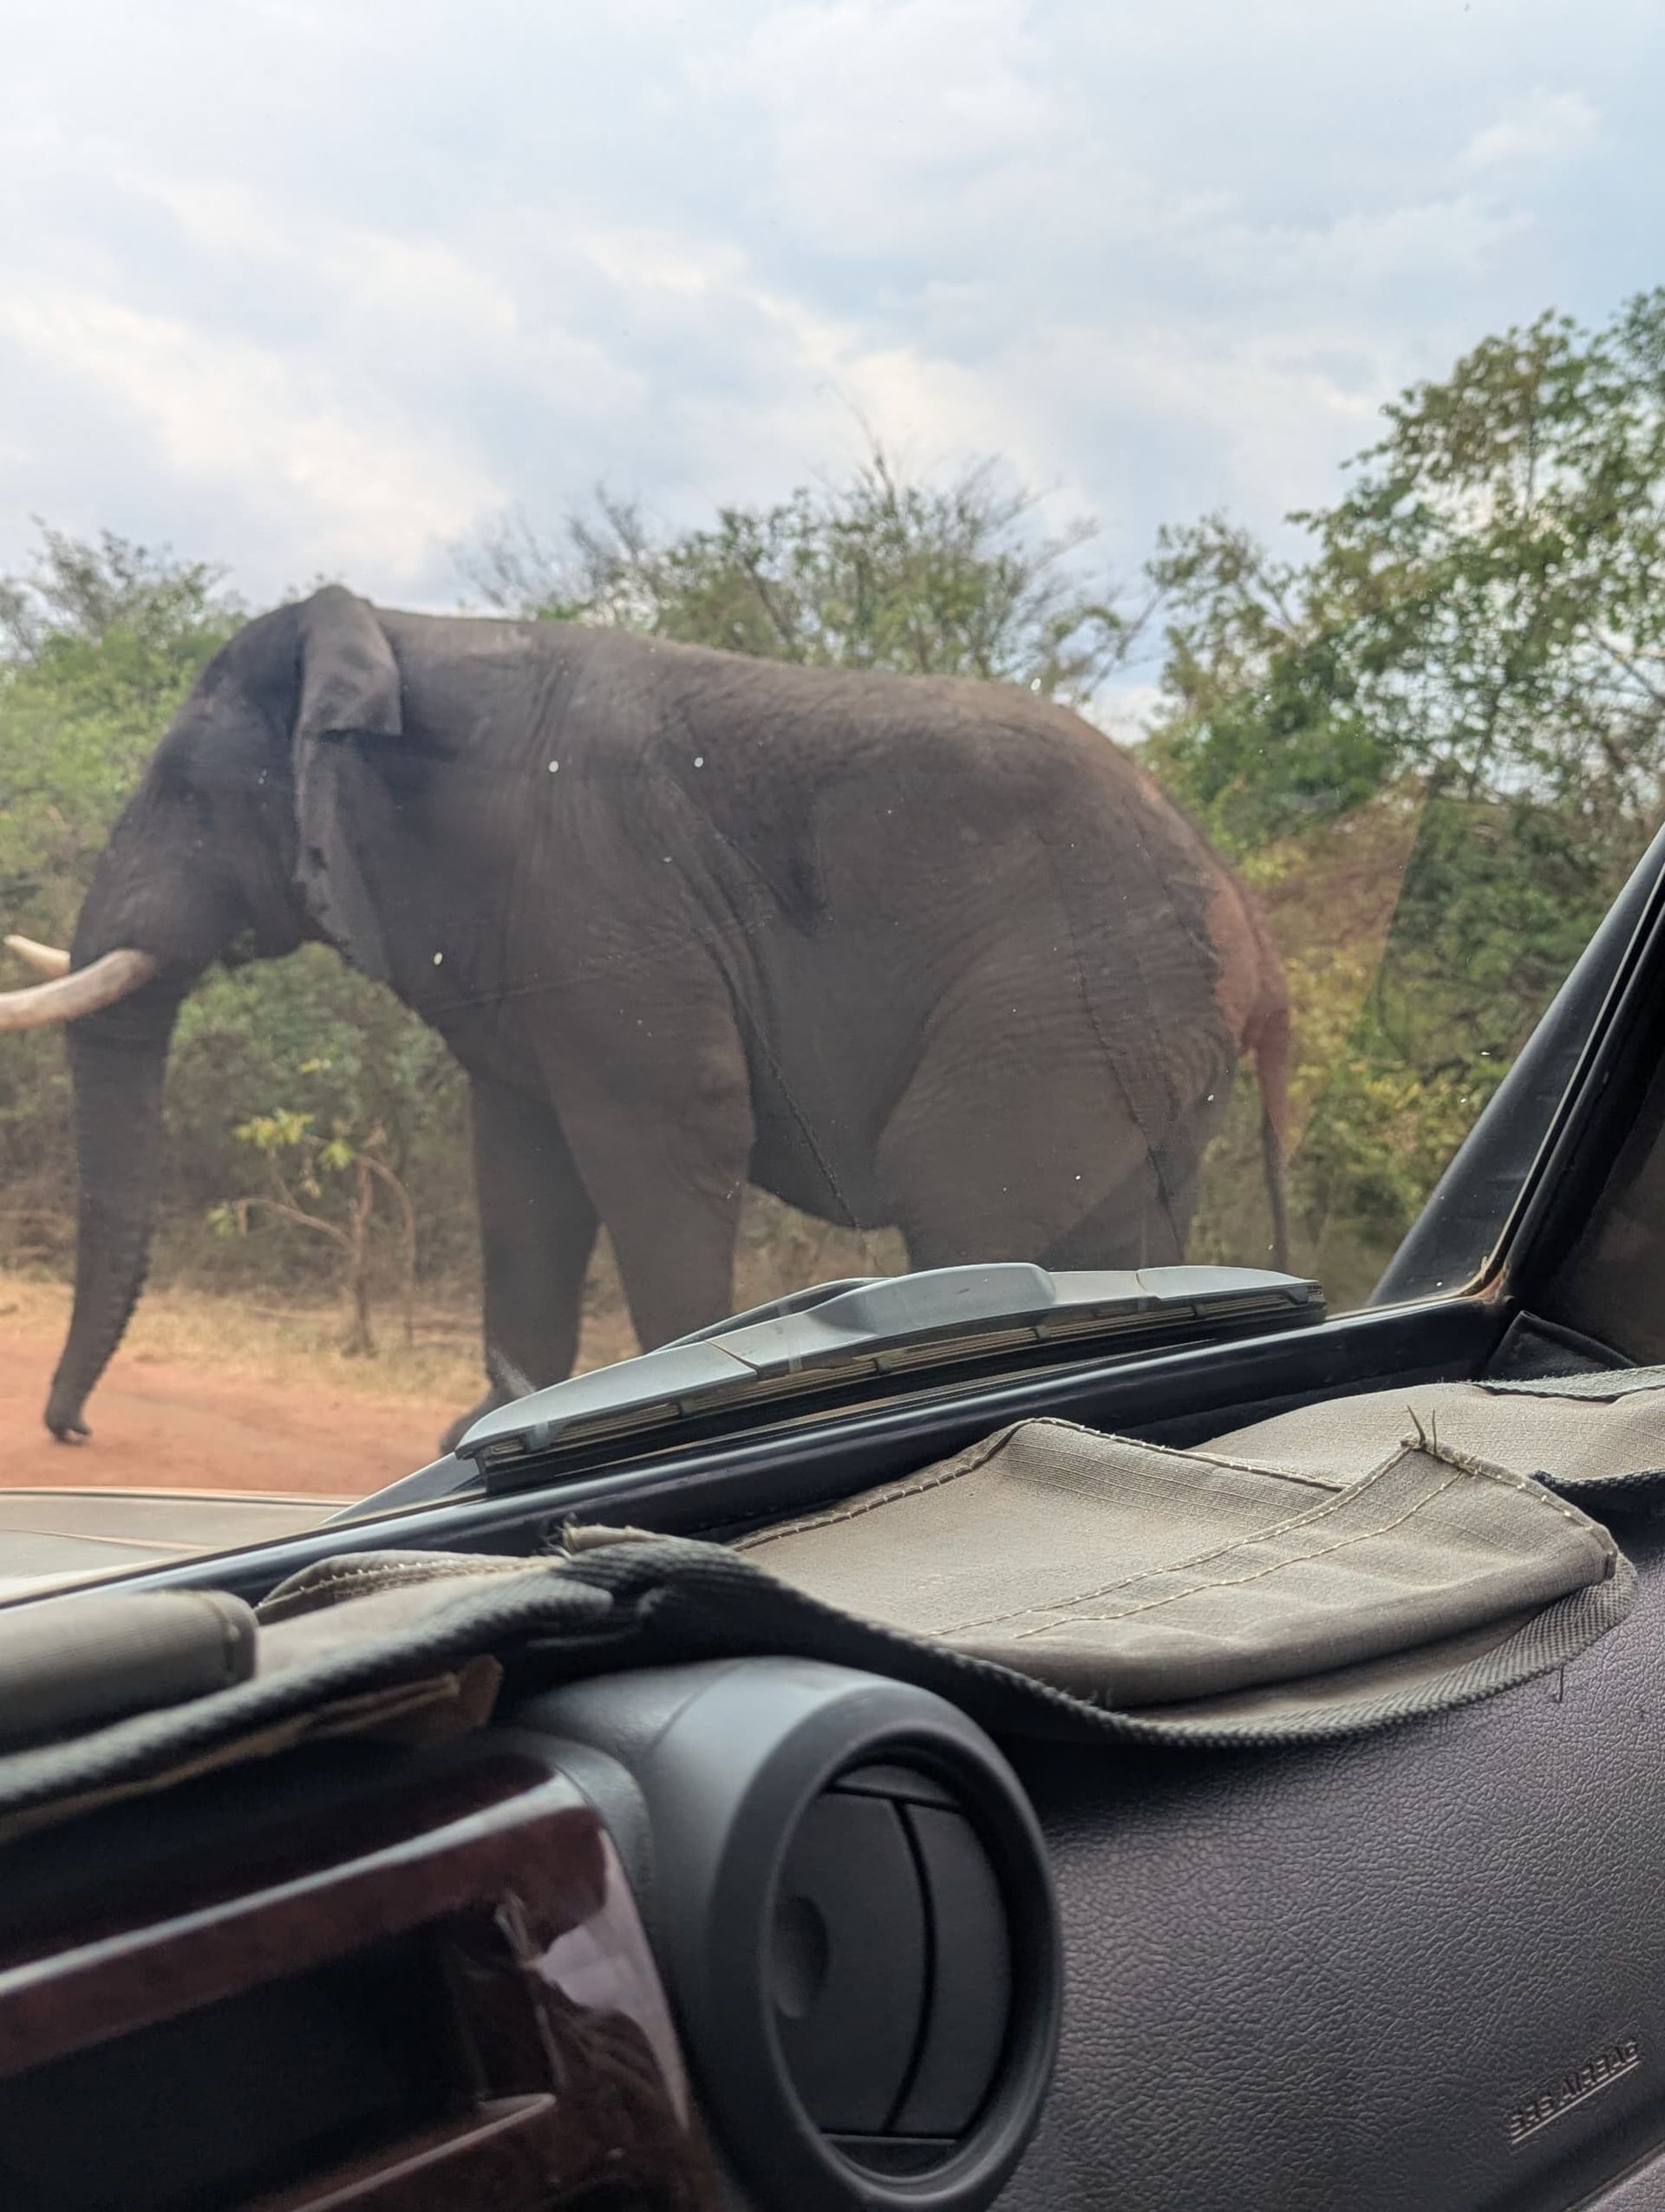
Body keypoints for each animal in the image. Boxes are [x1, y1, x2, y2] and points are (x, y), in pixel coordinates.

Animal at [0, 586, 1292, 1455]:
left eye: (182, 792)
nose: (72, 1433)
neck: (401, 640)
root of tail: (1257, 936)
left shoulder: (607, 896)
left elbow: (662, 1137)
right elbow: (521, 1172)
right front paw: (489, 1424)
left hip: (1071, 1000)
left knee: (966, 1194)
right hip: (1136, 1037)